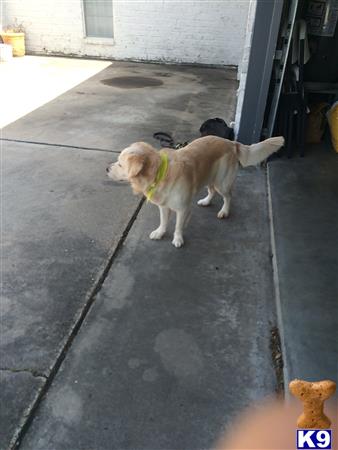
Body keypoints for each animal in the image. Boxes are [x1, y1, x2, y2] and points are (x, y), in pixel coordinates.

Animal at [107, 137, 284, 250]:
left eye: (120, 164)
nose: (107, 168)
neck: (160, 172)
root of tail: (231, 142)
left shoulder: (183, 209)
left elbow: (178, 226)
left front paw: (177, 239)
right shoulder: (164, 206)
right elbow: (163, 221)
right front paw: (160, 232)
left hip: (222, 182)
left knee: (228, 196)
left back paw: (224, 211)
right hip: (209, 177)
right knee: (211, 191)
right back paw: (206, 201)